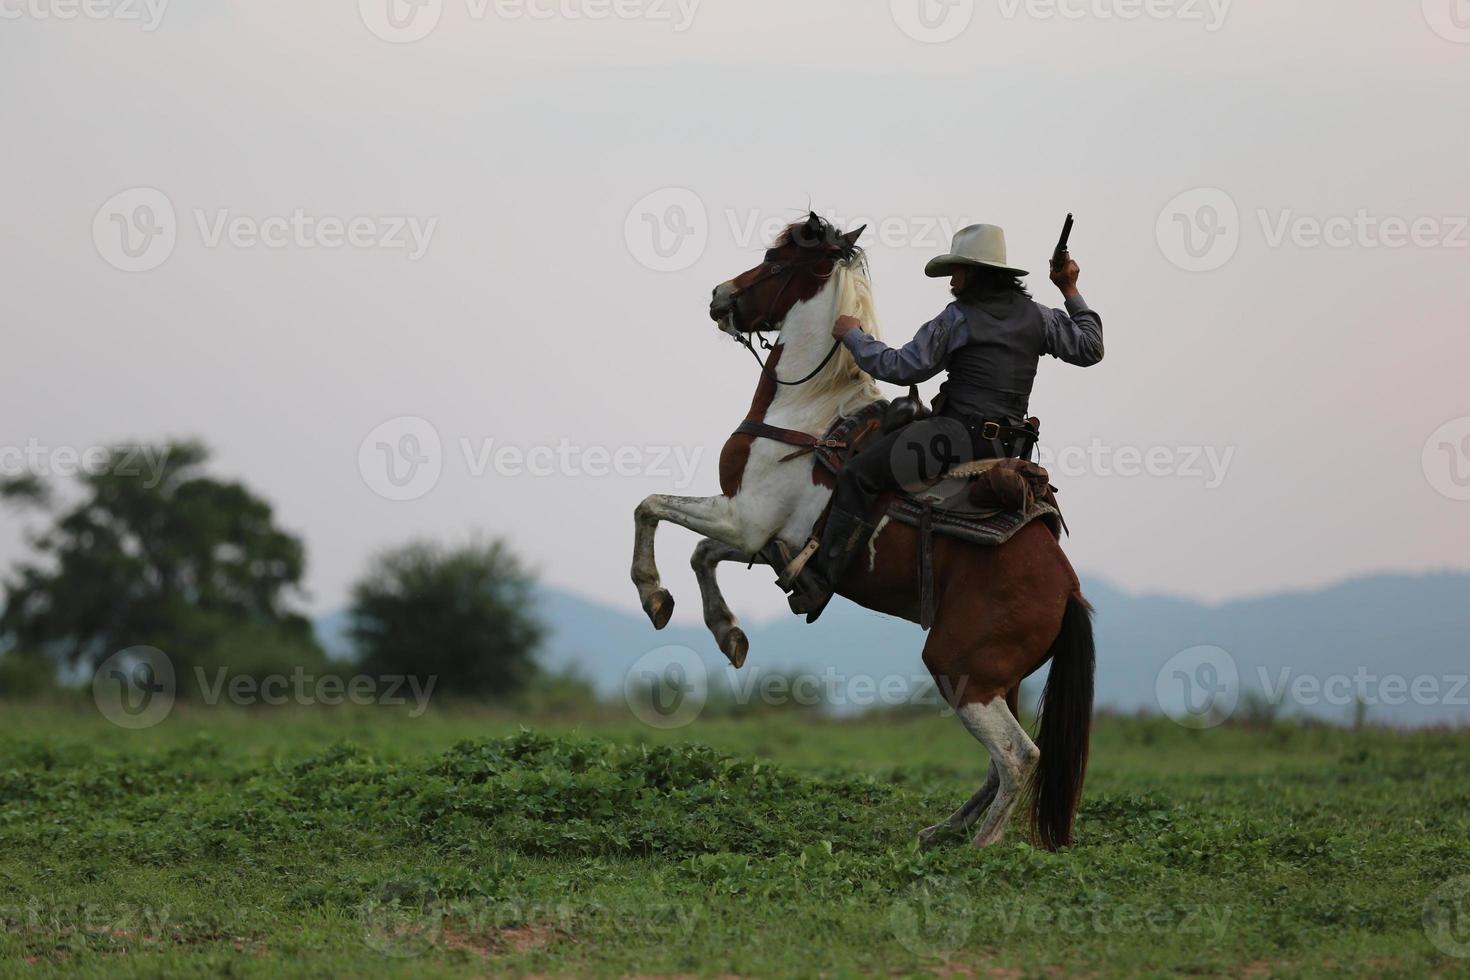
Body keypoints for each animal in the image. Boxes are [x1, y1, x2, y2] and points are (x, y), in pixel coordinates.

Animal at [626, 214, 1099, 852]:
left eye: (775, 260)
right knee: (999, 763)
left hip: (961, 668)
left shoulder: (744, 517)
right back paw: (943, 830)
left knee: (1018, 755)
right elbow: (703, 554)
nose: (720, 296)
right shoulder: (764, 535)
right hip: (1003, 680)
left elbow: (649, 507)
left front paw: (653, 595)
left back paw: (977, 852)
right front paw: (729, 634)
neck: (808, 412)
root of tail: (1069, 589)